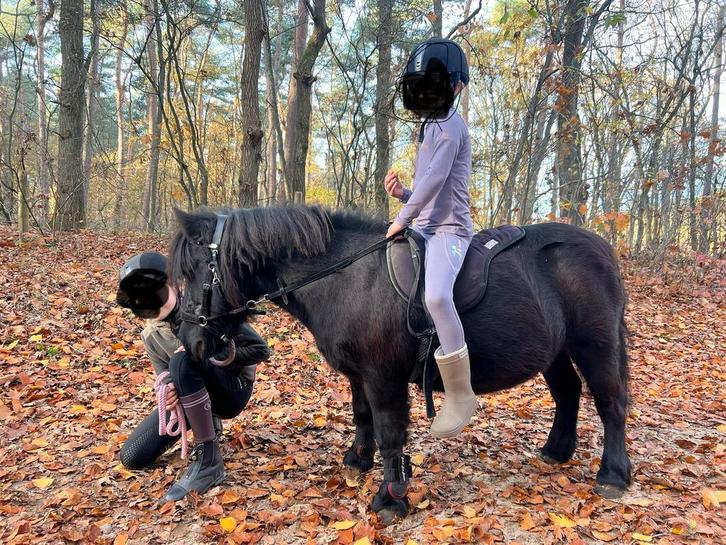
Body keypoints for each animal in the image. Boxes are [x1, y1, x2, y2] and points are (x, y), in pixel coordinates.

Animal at [168, 205, 631, 522]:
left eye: (196, 270)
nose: (189, 341)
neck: (346, 278)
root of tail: (603, 249)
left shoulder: (383, 376)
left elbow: (391, 432)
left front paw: (391, 497)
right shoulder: (358, 375)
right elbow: (362, 416)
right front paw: (357, 461)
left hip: (595, 344)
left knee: (610, 404)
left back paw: (612, 475)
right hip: (556, 350)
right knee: (568, 393)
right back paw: (556, 450)